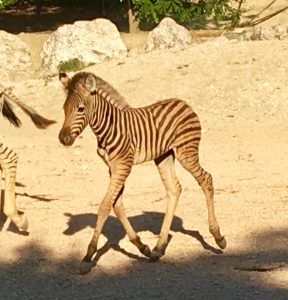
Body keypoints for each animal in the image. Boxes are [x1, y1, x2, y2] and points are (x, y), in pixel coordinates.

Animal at [57, 71, 226, 274]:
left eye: (81, 109)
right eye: (64, 109)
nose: (63, 139)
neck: (108, 127)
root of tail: (183, 103)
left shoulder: (123, 165)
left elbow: (105, 205)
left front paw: (88, 255)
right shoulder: (112, 167)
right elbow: (117, 205)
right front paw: (141, 246)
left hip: (186, 152)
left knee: (206, 179)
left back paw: (218, 237)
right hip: (164, 156)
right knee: (174, 189)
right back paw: (158, 247)